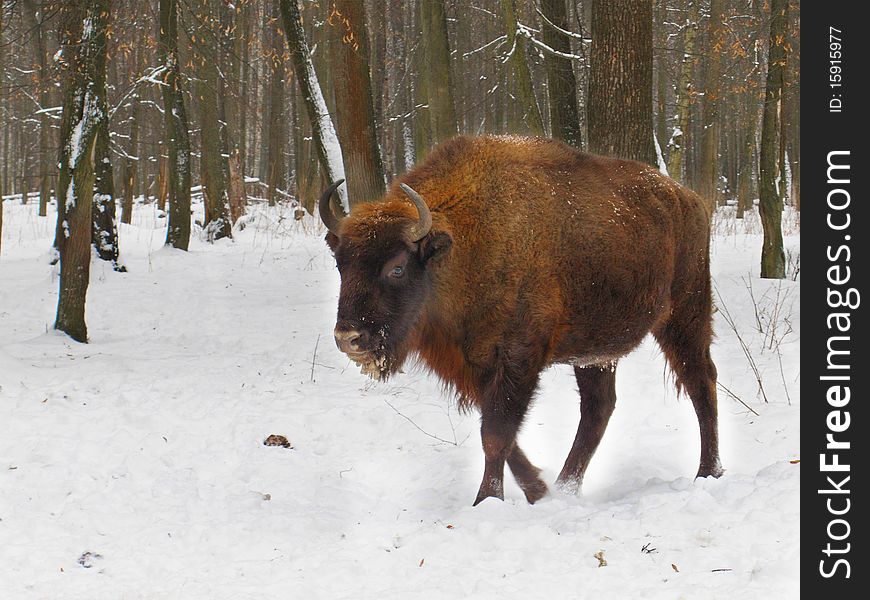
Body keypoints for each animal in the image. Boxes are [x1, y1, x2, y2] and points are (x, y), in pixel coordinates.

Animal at [320, 134, 724, 504]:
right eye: (340, 264)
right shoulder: (475, 366)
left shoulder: (519, 357)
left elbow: (496, 433)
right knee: (599, 408)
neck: (462, 243)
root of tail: (689, 199)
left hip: (685, 314)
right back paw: (565, 488)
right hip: (594, 352)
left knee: (700, 381)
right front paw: (538, 490)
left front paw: (487, 500)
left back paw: (709, 472)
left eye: (397, 268)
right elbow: (501, 431)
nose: (348, 338)